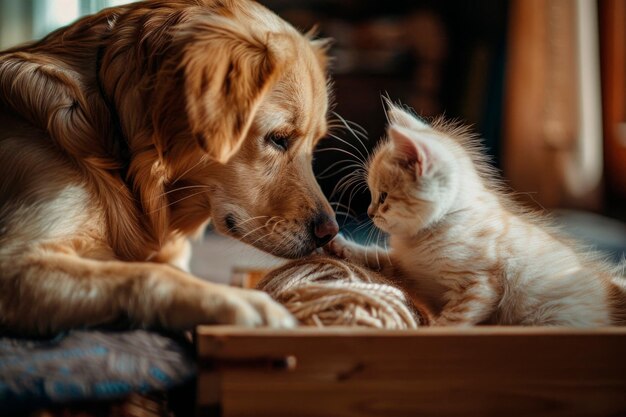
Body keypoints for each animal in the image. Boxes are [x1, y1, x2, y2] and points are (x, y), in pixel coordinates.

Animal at [0, 0, 336, 334]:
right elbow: (145, 273)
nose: (329, 233)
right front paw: (242, 301)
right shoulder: (15, 261)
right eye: (279, 138)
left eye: (315, 143)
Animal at [326, 102, 624, 326]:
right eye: (373, 196)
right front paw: (342, 246)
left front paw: (429, 331)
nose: (369, 212)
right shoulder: (409, 269)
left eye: (383, 197)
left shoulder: (479, 287)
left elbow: (452, 321)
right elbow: (378, 257)